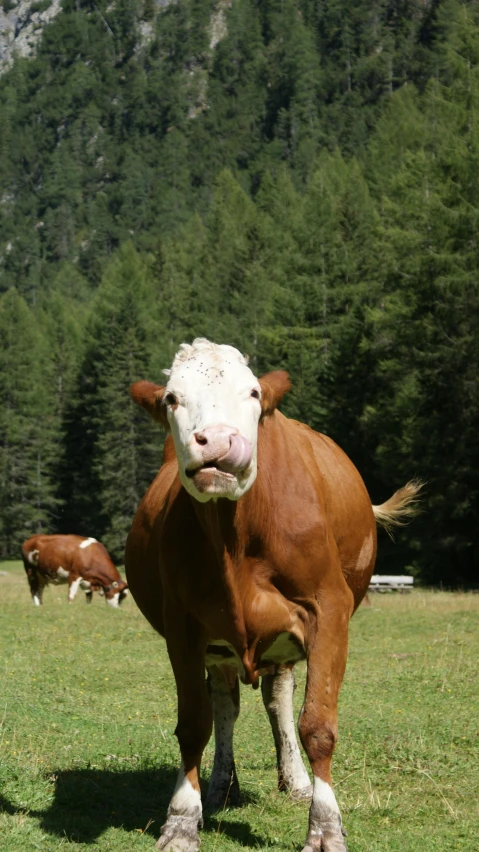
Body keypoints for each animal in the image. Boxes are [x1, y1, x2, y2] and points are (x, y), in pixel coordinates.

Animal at [124, 340, 420, 852]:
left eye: (253, 392)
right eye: (172, 398)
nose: (218, 440)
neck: (236, 538)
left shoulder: (328, 609)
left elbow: (316, 725)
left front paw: (325, 827)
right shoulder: (182, 626)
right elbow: (194, 723)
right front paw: (181, 820)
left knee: (278, 696)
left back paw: (296, 781)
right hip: (220, 645)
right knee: (227, 702)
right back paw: (221, 785)